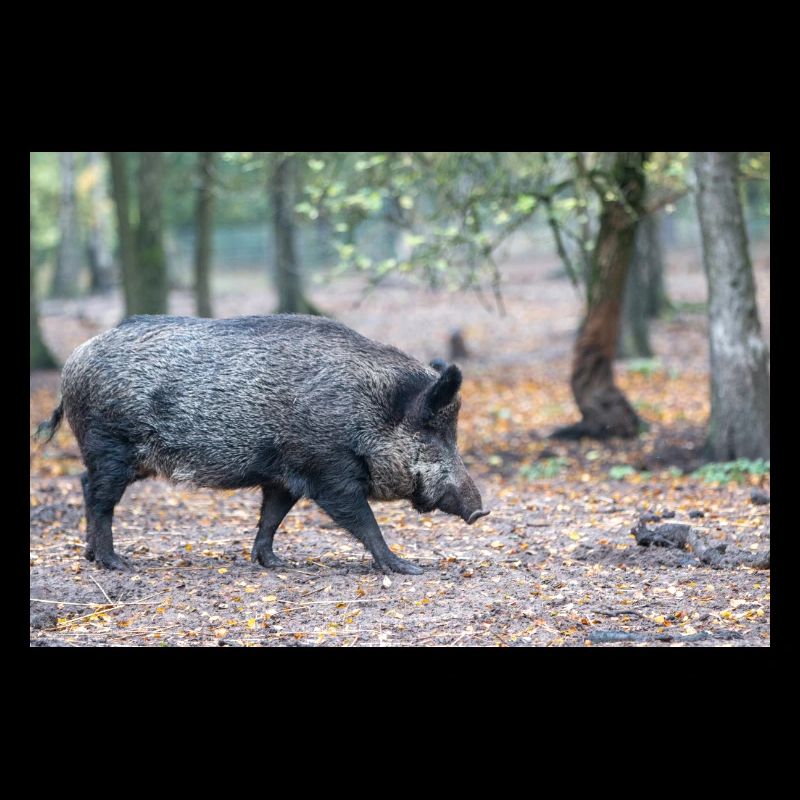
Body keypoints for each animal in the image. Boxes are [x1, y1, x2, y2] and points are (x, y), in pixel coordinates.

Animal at [37, 315, 489, 574]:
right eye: (432, 431)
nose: (480, 510)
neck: (369, 410)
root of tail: (72, 364)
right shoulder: (328, 471)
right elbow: (364, 521)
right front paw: (408, 568)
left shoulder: (284, 475)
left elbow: (272, 517)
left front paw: (274, 563)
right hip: (111, 445)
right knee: (100, 497)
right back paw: (117, 564)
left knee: (85, 485)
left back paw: (93, 558)